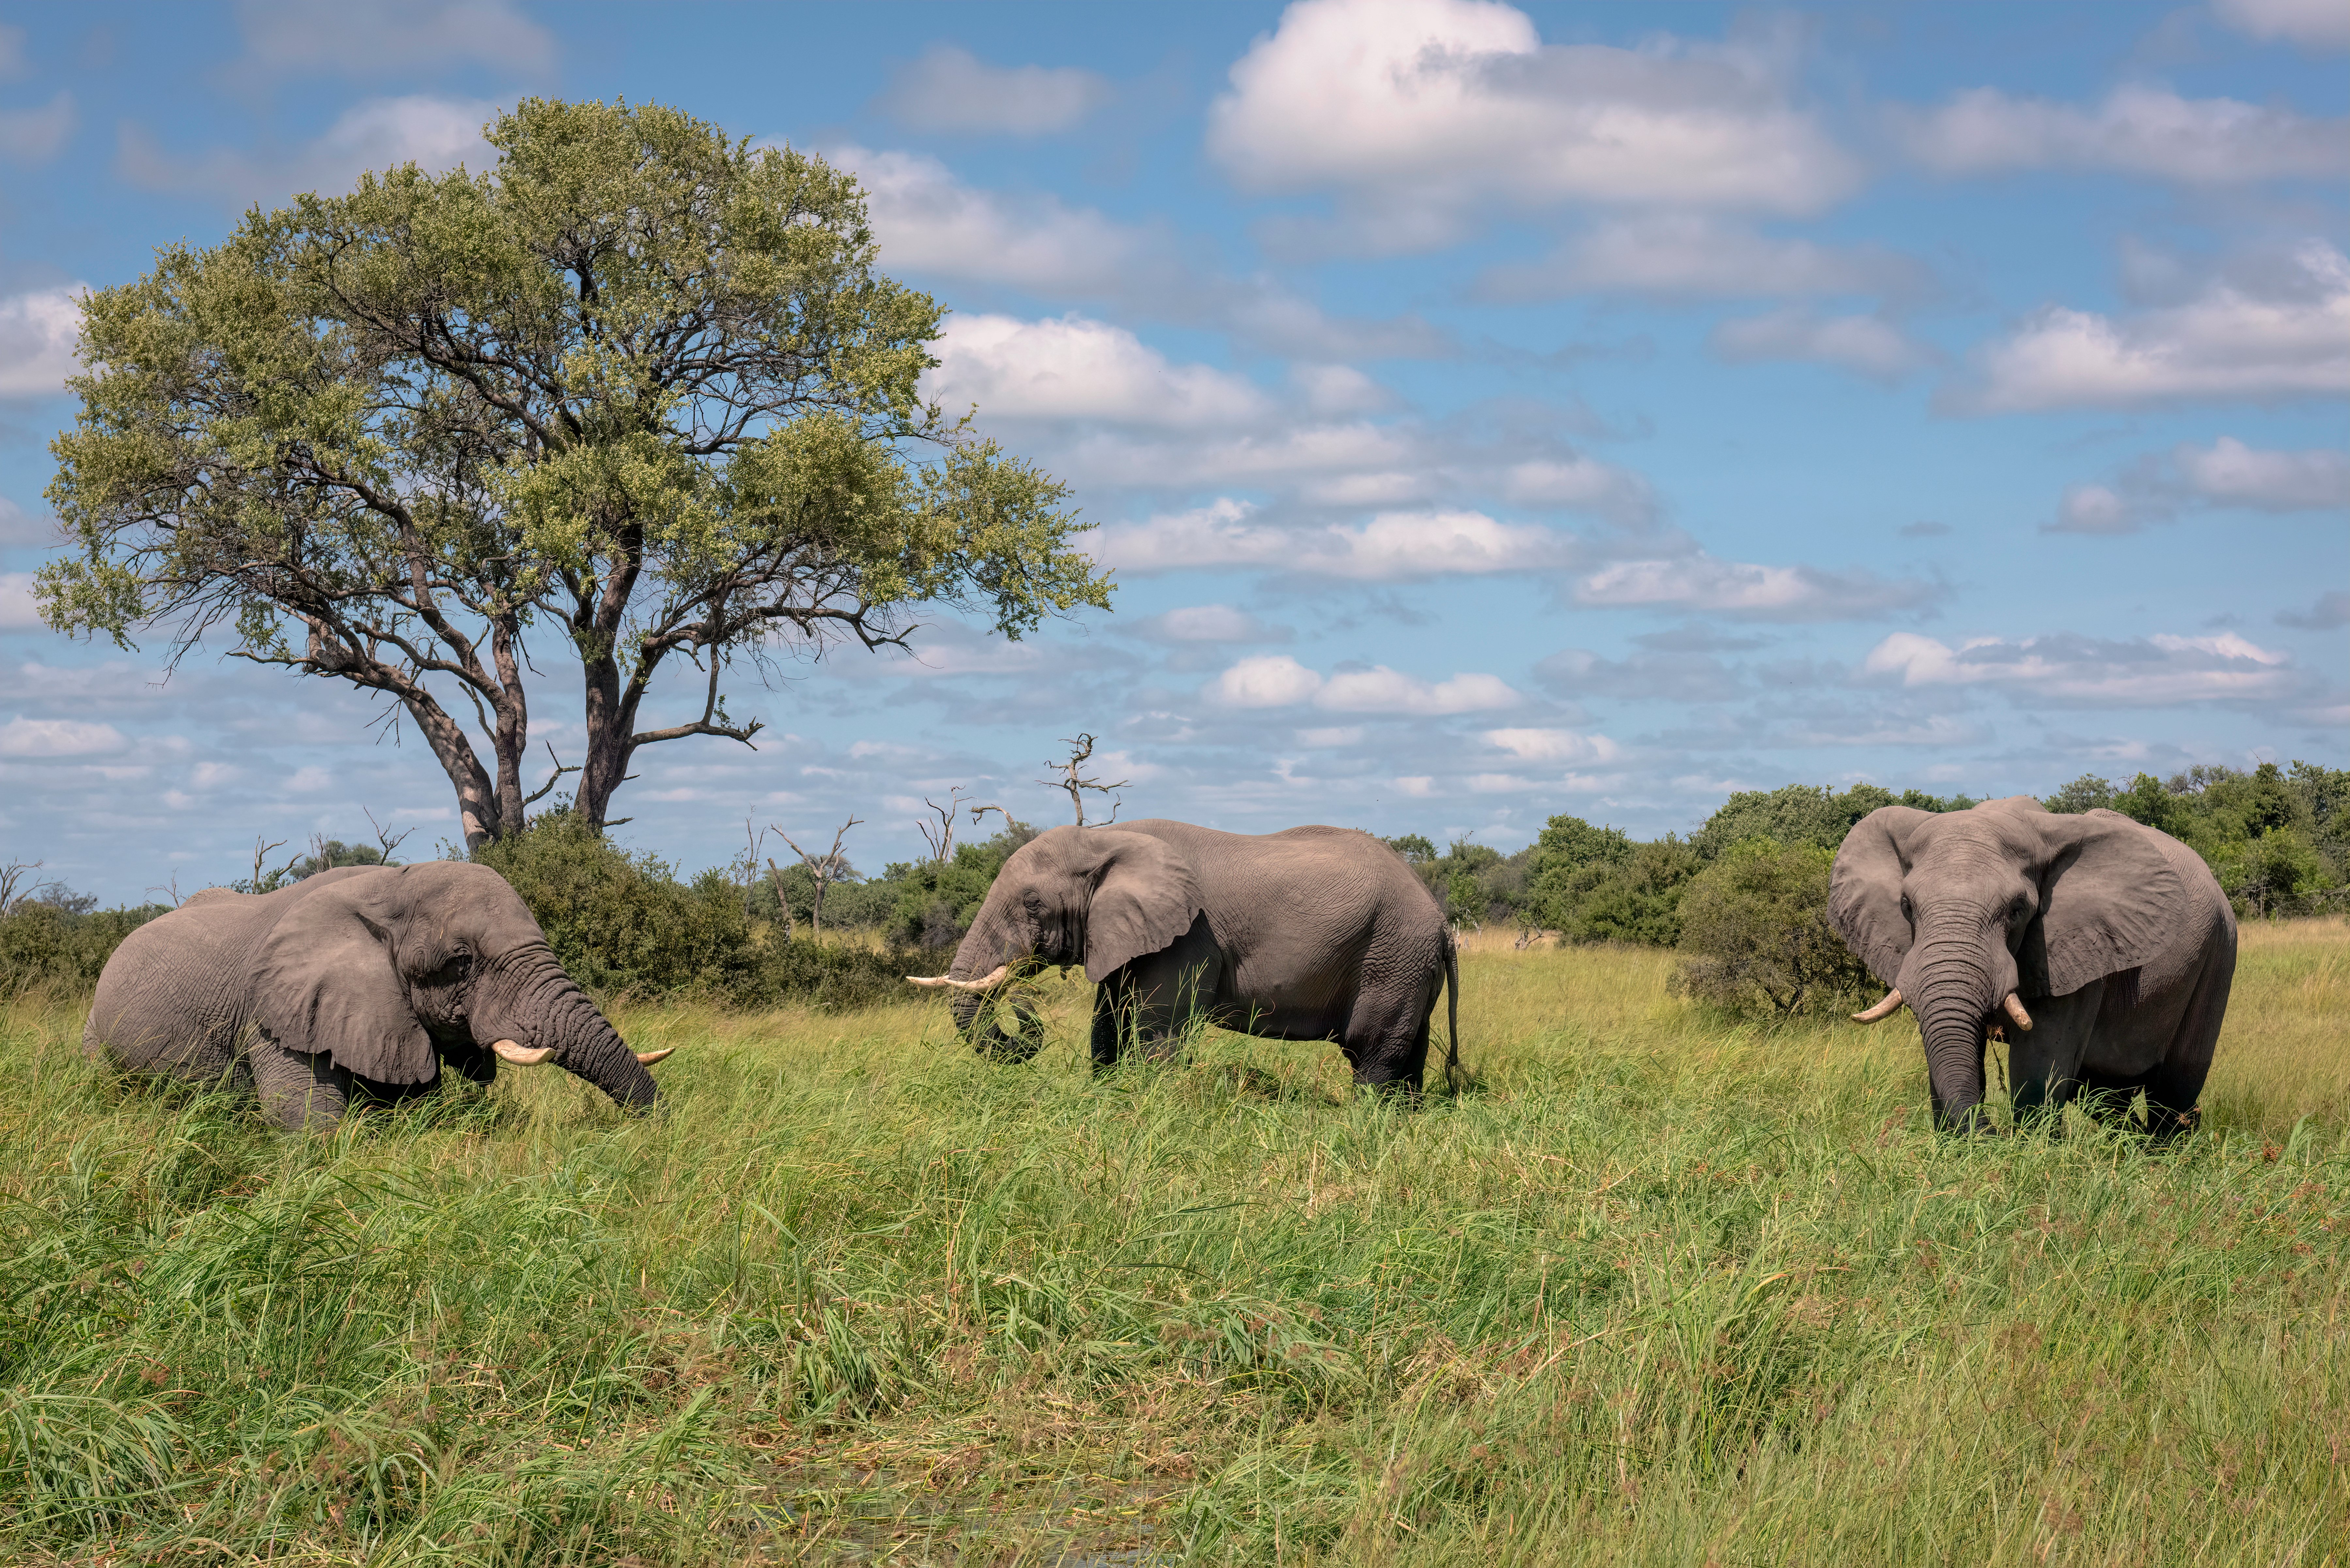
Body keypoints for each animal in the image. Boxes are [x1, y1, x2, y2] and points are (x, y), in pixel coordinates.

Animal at [906, 820, 1460, 1094]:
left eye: (1031, 904)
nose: (1021, 1002)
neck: (1108, 838)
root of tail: (1442, 923)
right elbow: (1108, 1019)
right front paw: (1106, 1100)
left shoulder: (1190, 934)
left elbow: (1158, 1028)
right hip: (1408, 965)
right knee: (1407, 1051)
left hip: (1391, 955)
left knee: (1372, 1052)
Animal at [1829, 796, 2235, 1136]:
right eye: (1906, 905)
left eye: (2017, 909)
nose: (1991, 1130)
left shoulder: (2075, 954)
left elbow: (2038, 1069)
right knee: (2107, 1093)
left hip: (2218, 953)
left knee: (2174, 1090)